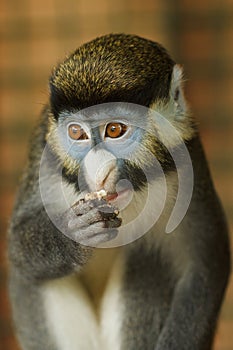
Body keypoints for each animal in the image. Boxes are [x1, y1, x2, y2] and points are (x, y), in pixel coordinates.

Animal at [8, 33, 230, 350]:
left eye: (115, 130)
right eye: (76, 133)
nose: (99, 174)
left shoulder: (190, 162)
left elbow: (204, 265)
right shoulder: (43, 151)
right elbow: (18, 245)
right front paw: (73, 234)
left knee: (149, 256)